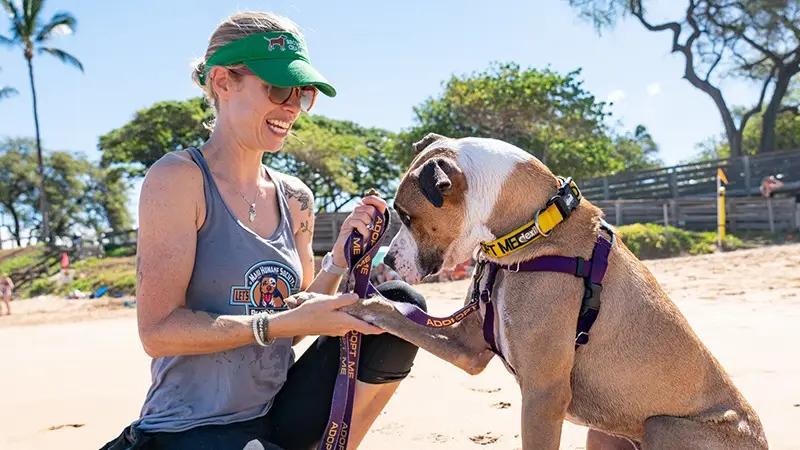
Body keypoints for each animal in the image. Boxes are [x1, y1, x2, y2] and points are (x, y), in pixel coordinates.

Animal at [344, 134, 768, 450]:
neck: (531, 229)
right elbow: (394, 312)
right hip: (605, 435)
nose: (389, 260)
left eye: (407, 215)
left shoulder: (542, 396)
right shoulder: (469, 350)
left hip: (663, 427)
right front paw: (344, 299)